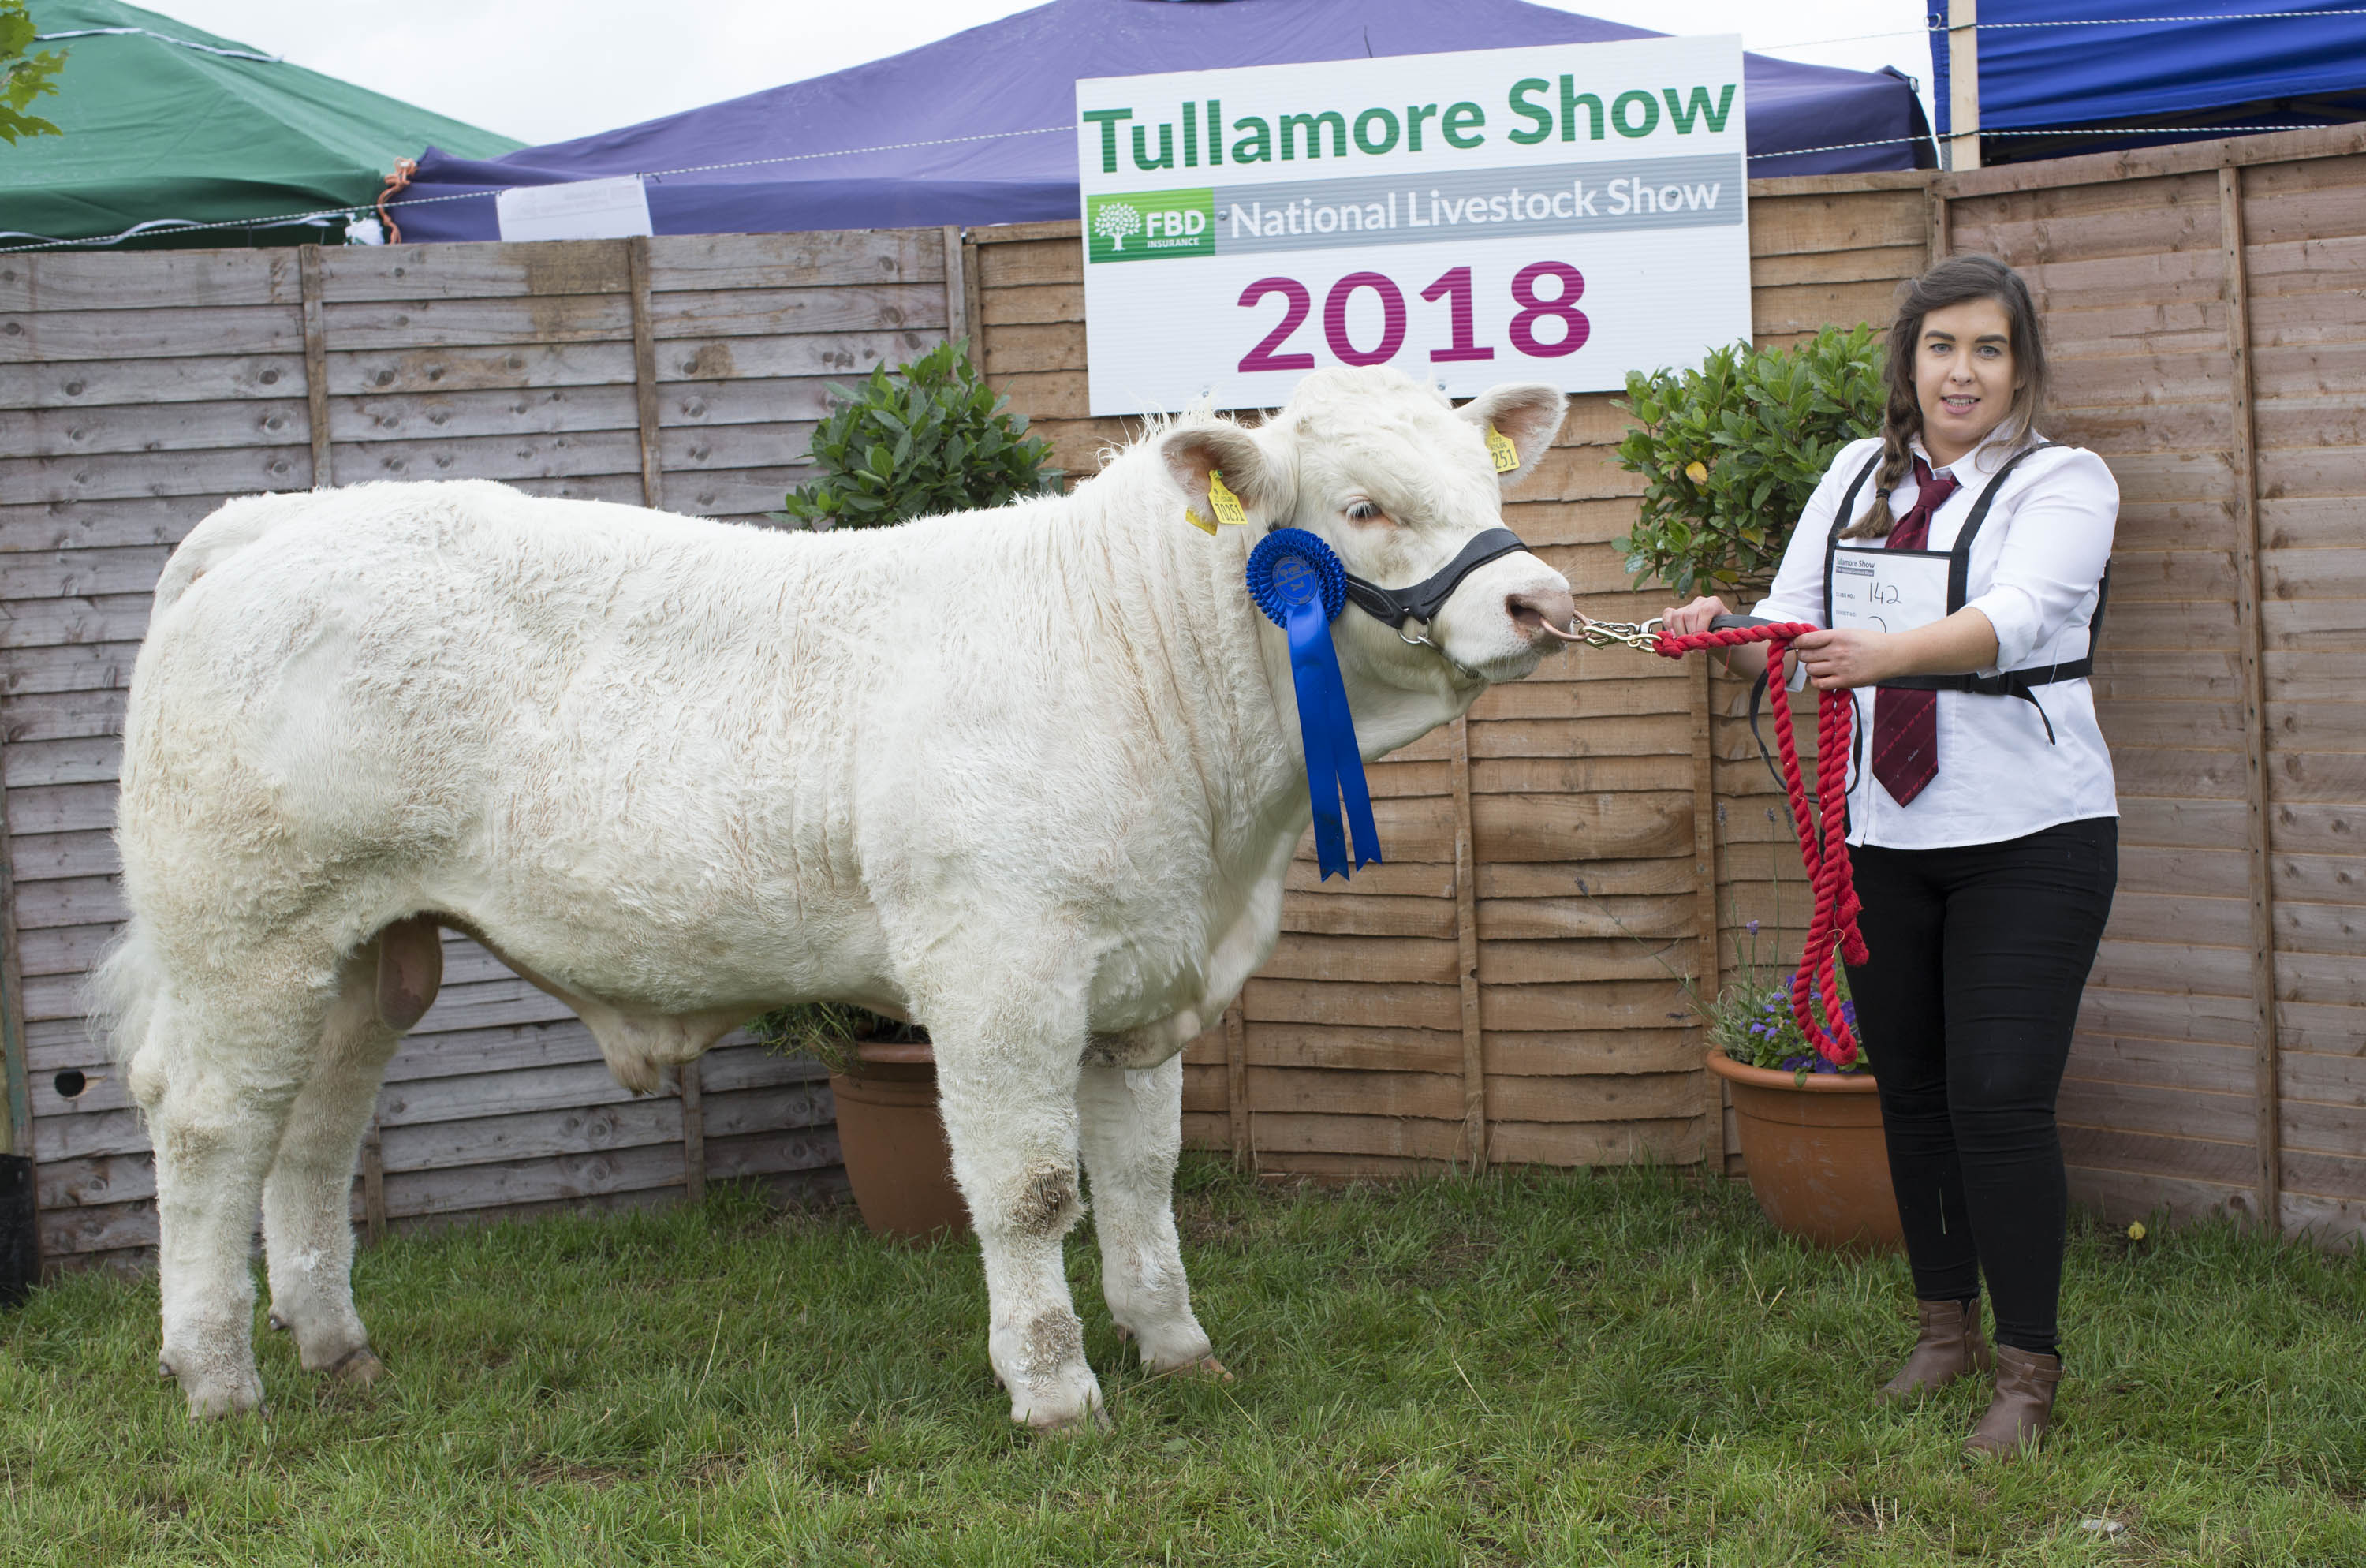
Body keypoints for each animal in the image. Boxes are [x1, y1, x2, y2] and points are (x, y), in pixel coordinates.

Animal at [96, 364, 1575, 1427]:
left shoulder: (1141, 982)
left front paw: (1177, 1347)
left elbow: (1140, 1178)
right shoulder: (1000, 972)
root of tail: (282, 517)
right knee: (211, 1125)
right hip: (247, 927)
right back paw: (216, 1377)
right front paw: (1055, 1391)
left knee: (312, 1132)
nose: (1541, 598)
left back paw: (337, 1350)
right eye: (1364, 506)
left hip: (365, 946)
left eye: (1477, 476)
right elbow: (1031, 1188)